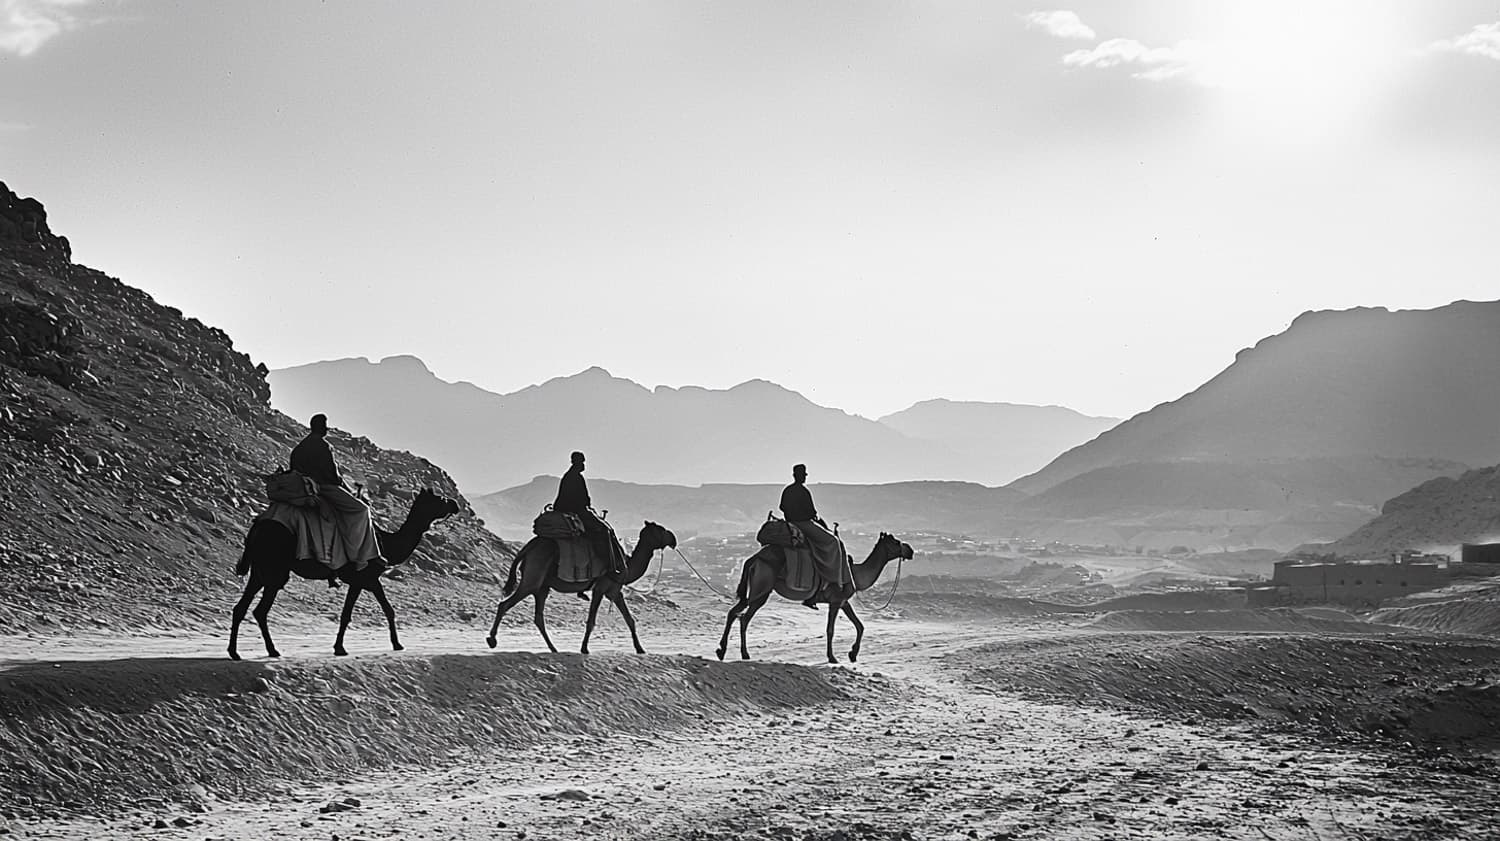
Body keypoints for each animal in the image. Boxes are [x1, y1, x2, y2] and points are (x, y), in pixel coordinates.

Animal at [226, 488, 456, 659]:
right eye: (440, 498)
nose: (455, 503)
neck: (386, 543)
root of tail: (257, 527)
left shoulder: (368, 580)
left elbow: (385, 610)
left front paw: (396, 644)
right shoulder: (363, 577)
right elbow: (351, 614)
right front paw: (341, 648)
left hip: (259, 571)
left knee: (241, 607)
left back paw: (235, 652)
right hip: (275, 570)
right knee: (260, 610)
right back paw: (273, 650)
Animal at [483, 521, 678, 653]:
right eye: (661, 529)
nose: (673, 539)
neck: (626, 565)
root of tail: (527, 548)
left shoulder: (615, 591)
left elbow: (630, 620)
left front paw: (640, 649)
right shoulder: (601, 588)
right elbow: (591, 621)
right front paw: (584, 648)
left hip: (542, 586)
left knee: (538, 617)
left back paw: (553, 648)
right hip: (532, 578)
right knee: (505, 604)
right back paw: (492, 639)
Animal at [717, 530, 912, 662]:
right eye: (895, 542)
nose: (910, 550)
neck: (855, 574)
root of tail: (753, 559)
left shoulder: (843, 602)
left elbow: (860, 626)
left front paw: (852, 654)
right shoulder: (836, 600)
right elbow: (830, 629)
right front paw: (833, 657)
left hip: (755, 590)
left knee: (734, 612)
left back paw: (721, 651)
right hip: (762, 588)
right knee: (744, 617)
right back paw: (744, 653)